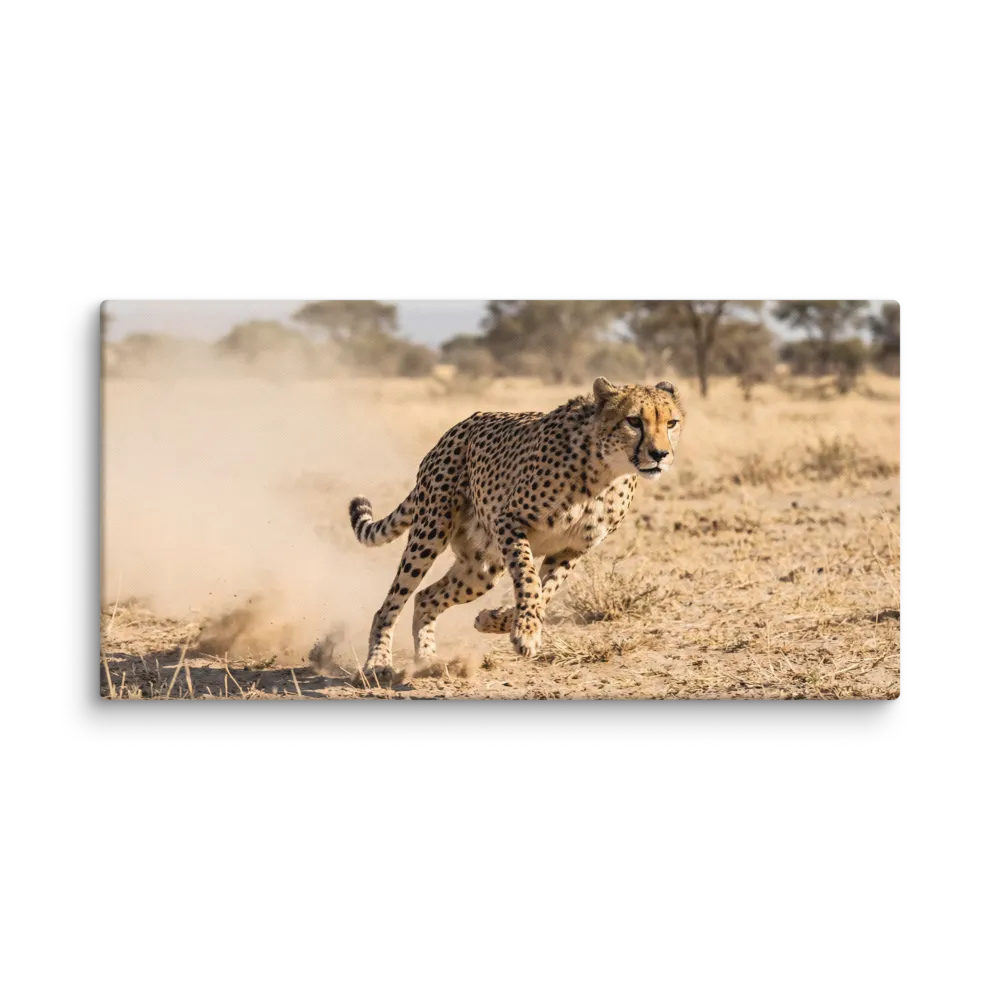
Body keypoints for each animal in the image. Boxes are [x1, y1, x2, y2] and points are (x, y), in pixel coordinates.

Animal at [347, 376, 684, 686]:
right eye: (633, 421)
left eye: (671, 423)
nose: (660, 455)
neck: (605, 472)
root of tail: (457, 428)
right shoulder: (510, 522)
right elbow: (529, 579)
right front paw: (526, 631)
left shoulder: (572, 548)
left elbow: (547, 591)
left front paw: (496, 620)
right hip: (431, 531)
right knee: (391, 603)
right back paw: (378, 663)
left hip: (481, 569)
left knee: (426, 597)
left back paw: (429, 660)